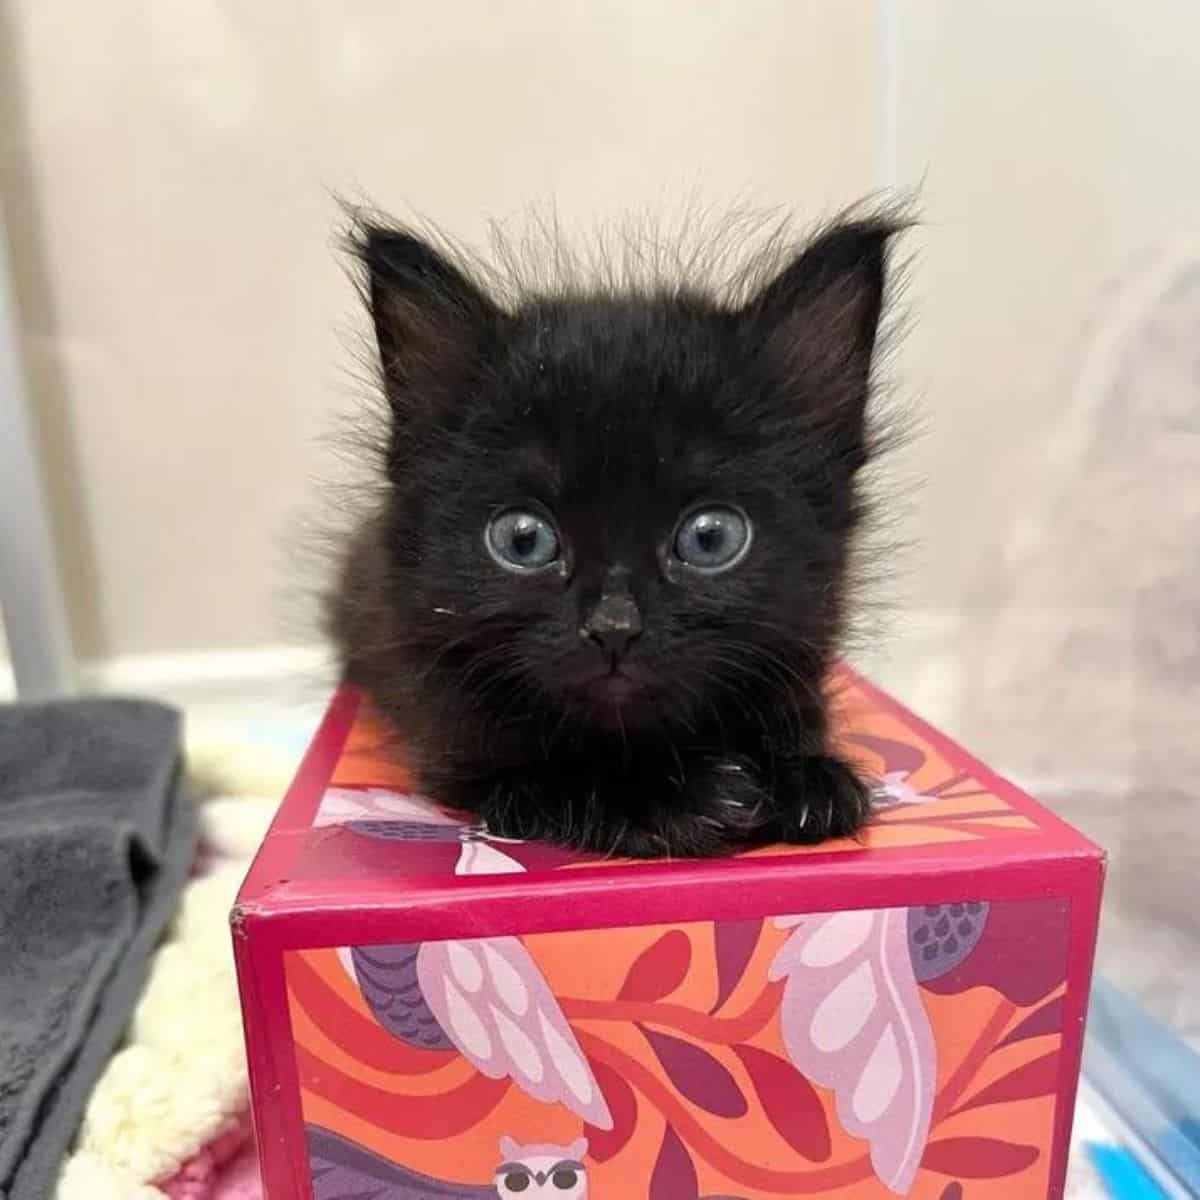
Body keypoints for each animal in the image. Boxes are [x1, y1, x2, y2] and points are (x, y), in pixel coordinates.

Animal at [328, 211, 902, 859]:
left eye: (710, 538)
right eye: (523, 541)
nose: (614, 626)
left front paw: (805, 778)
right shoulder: (458, 741)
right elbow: (552, 776)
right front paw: (673, 798)